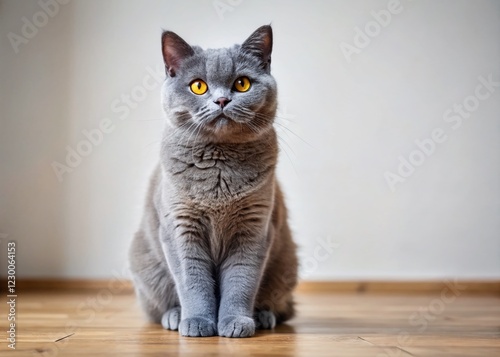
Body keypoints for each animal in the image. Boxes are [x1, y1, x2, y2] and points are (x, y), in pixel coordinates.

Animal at [131, 25, 298, 336]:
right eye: (198, 86)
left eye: (242, 84)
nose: (221, 100)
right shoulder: (180, 227)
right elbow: (193, 282)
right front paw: (197, 322)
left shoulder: (255, 228)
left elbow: (241, 281)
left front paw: (236, 323)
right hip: (145, 265)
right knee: (158, 307)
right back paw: (174, 317)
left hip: (286, 265)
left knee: (281, 306)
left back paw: (263, 316)